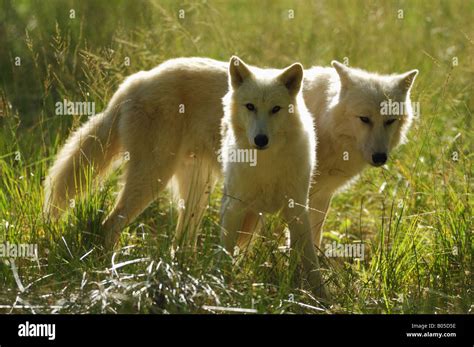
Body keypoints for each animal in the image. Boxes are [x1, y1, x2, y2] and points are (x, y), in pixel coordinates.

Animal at [42, 57, 416, 254]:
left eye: (390, 120)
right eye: (364, 119)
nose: (380, 157)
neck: (323, 115)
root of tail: (135, 80)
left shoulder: (316, 199)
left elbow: (310, 244)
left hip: (197, 193)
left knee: (180, 241)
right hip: (152, 181)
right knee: (110, 225)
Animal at [219, 56, 324, 296]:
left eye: (276, 109)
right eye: (250, 106)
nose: (261, 140)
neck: (266, 163)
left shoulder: (298, 210)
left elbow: (311, 262)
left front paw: (322, 297)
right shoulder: (235, 209)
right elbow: (225, 254)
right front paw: (221, 286)